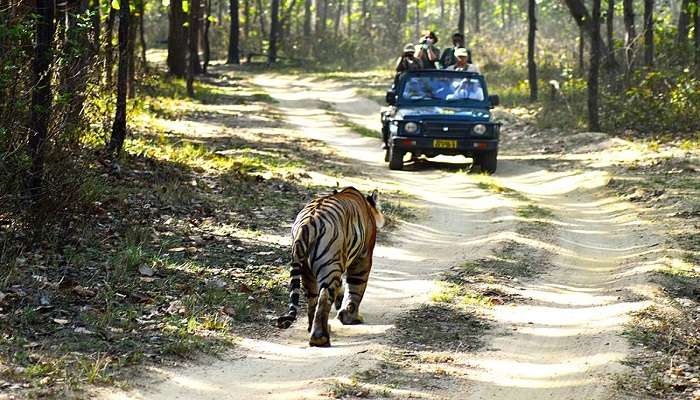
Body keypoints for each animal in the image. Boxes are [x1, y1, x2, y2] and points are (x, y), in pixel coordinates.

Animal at [276, 188, 386, 346]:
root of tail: (306, 224)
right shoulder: (363, 257)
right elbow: (356, 288)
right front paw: (350, 317)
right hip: (330, 266)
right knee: (324, 298)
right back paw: (320, 338)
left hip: (307, 269)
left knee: (312, 299)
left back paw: (314, 329)